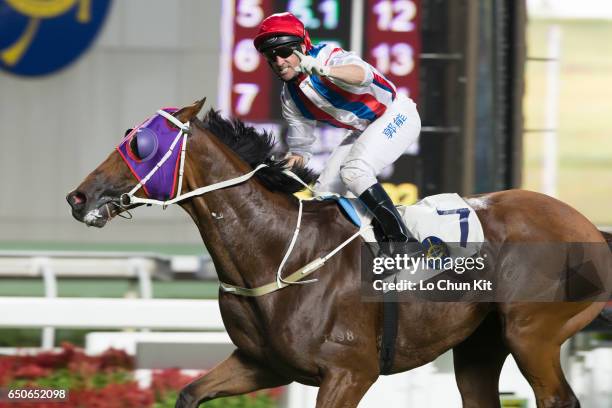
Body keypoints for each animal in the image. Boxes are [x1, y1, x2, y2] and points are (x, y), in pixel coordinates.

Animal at [68, 99, 612, 408]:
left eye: (140, 144)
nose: (78, 197)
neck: (279, 253)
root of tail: (587, 225)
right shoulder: (261, 363)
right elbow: (188, 392)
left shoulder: (350, 372)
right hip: (480, 345)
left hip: (532, 333)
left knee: (558, 399)